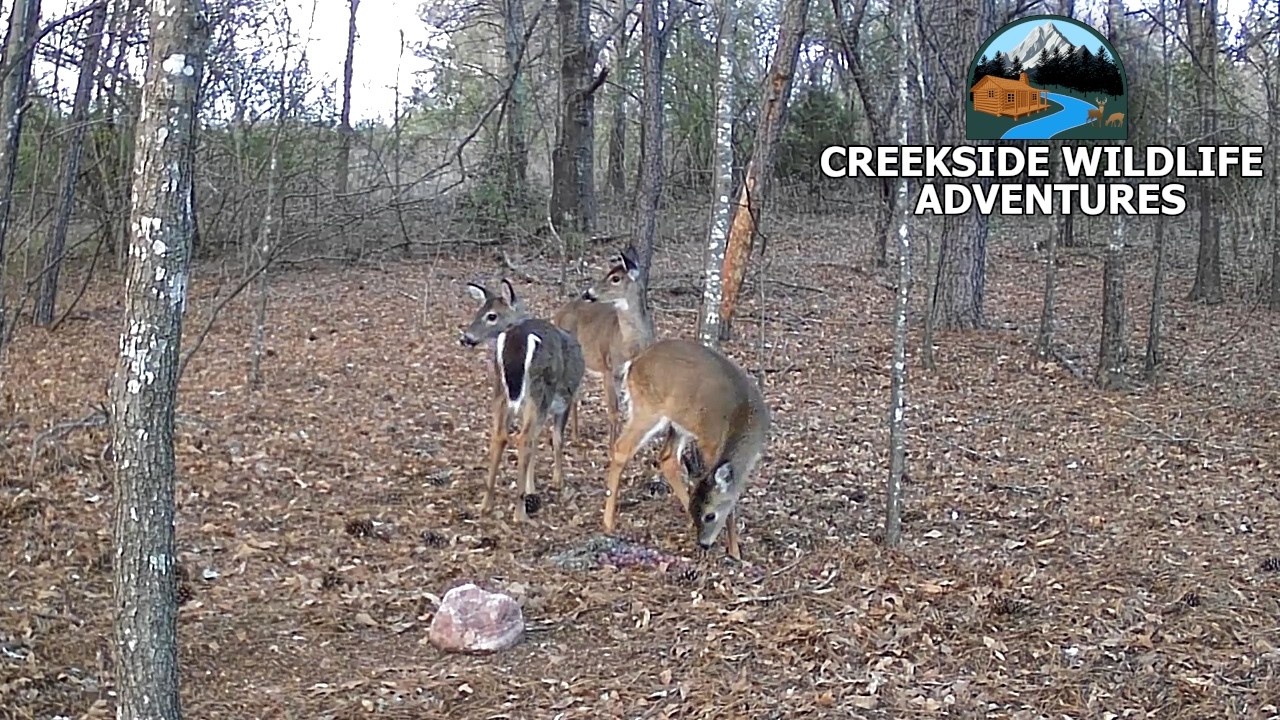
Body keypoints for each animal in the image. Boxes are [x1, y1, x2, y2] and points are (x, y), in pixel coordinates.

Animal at [460, 278, 585, 522]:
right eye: (479, 312)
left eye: (491, 315)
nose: (466, 338)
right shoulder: (565, 399)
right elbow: (556, 439)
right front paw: (557, 481)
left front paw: (532, 487)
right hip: (540, 390)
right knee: (524, 438)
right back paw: (520, 513)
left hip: (501, 389)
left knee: (500, 435)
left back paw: (486, 504)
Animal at [552, 246, 655, 447]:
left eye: (615, 278)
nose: (587, 293)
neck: (629, 344)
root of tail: (558, 313)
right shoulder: (609, 367)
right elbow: (613, 412)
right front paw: (611, 448)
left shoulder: (625, 373)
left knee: (575, 393)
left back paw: (575, 435)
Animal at [600, 338, 771, 560]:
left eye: (709, 515)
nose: (703, 544)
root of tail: (633, 364)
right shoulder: (710, 441)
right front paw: (734, 552)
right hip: (648, 407)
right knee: (622, 448)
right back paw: (608, 523)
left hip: (679, 422)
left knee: (667, 458)